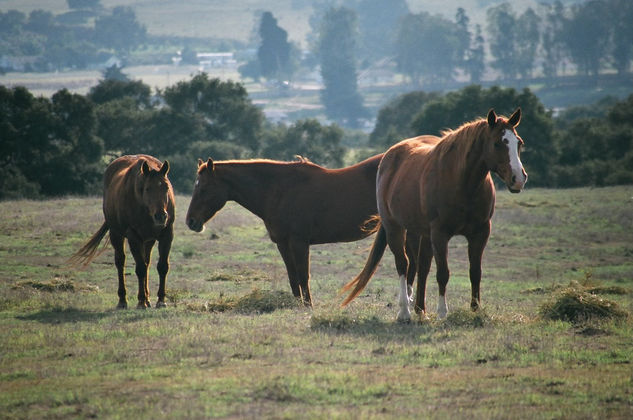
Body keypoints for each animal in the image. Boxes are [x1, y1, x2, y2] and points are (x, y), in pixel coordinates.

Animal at [70, 154, 174, 308]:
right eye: (147, 189)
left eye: (166, 187)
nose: (161, 216)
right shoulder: (133, 237)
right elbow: (140, 269)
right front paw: (141, 302)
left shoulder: (166, 235)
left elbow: (162, 267)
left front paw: (160, 300)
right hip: (116, 234)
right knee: (121, 263)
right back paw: (123, 300)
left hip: (148, 240)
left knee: (147, 262)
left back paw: (148, 299)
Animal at [185, 154, 418, 306]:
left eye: (203, 188)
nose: (191, 222)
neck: (279, 190)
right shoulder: (283, 243)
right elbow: (293, 276)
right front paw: (299, 305)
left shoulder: (299, 242)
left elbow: (303, 275)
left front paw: (308, 306)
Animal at [344, 108, 524, 322]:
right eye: (497, 143)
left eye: (519, 143)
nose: (518, 179)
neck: (463, 183)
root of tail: (390, 155)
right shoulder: (440, 233)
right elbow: (443, 273)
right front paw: (442, 312)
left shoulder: (480, 232)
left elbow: (475, 272)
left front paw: (475, 309)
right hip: (395, 228)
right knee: (403, 264)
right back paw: (404, 311)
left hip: (420, 232)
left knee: (420, 266)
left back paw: (420, 309)